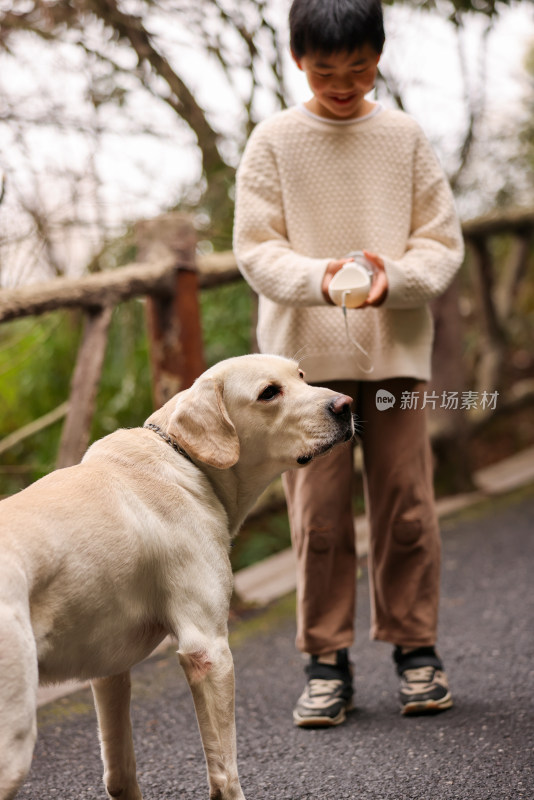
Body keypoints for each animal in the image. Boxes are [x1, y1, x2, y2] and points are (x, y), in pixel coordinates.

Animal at [0, 356, 354, 800]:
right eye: (269, 393)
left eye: (302, 376)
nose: (346, 405)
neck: (182, 459)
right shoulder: (208, 651)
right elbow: (225, 772)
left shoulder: (109, 671)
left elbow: (121, 774)